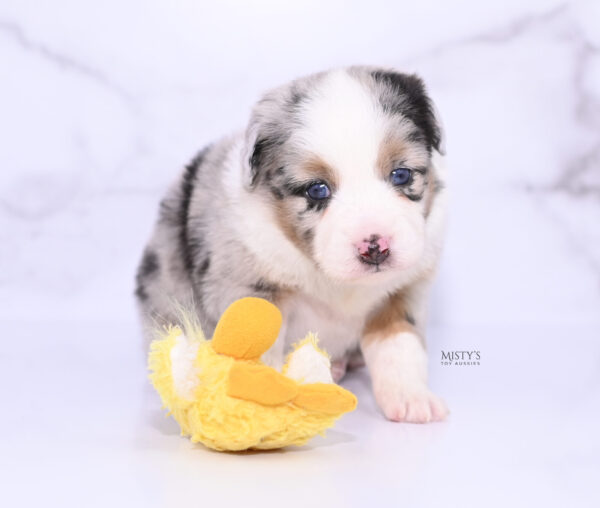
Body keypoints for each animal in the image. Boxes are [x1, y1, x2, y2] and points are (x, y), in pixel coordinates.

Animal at [136, 65, 446, 422]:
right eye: (317, 189)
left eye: (401, 175)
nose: (375, 248)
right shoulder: (250, 290)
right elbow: (257, 351)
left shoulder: (403, 291)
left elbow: (399, 344)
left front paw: (412, 399)